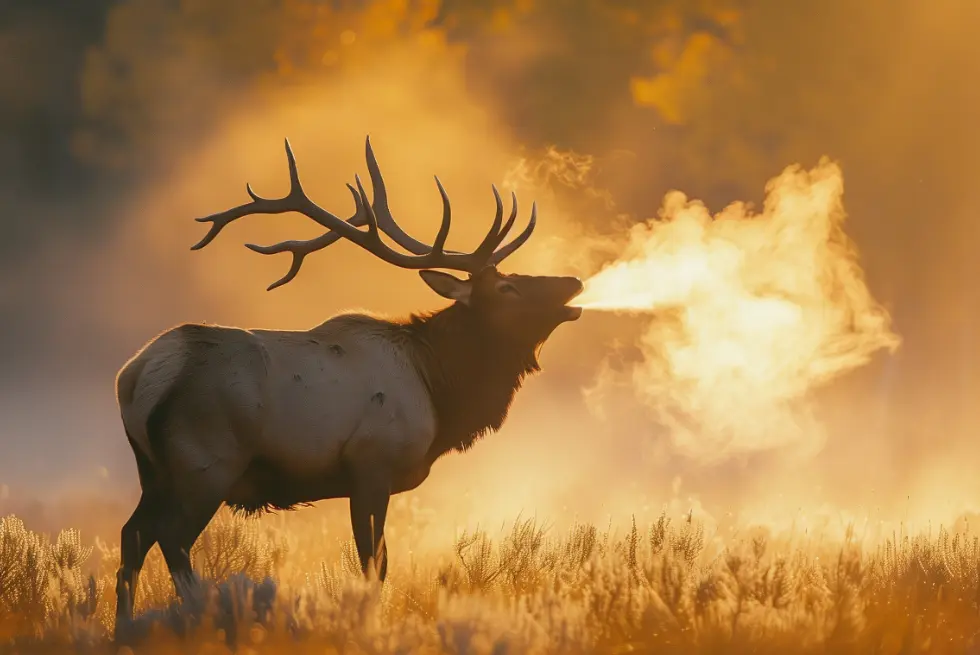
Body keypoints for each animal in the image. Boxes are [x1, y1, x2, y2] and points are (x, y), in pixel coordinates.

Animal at [112, 136, 583, 636]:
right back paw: (206, 613)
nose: (573, 281)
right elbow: (375, 565)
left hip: (154, 471)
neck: (438, 387)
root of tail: (136, 376)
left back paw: (124, 630)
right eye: (508, 287)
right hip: (206, 463)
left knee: (132, 536)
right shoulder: (372, 463)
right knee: (172, 538)